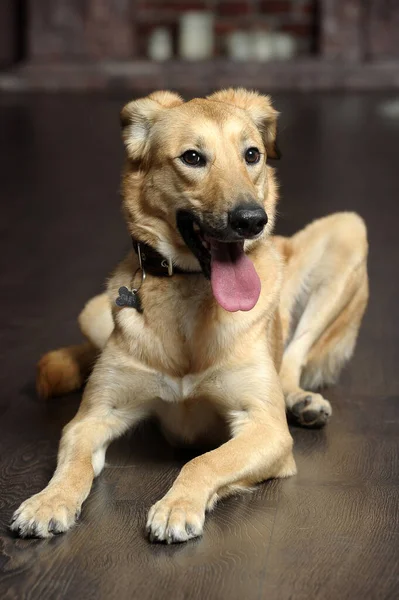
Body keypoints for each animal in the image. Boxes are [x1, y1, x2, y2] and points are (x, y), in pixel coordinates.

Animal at [8, 89, 368, 544]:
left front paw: (177, 505)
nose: (252, 220)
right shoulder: (91, 419)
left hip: (348, 230)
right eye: (193, 158)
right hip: (92, 312)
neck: (190, 292)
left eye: (252, 154)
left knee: (289, 361)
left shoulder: (266, 430)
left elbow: (205, 460)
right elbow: (73, 464)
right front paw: (49, 501)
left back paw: (299, 399)